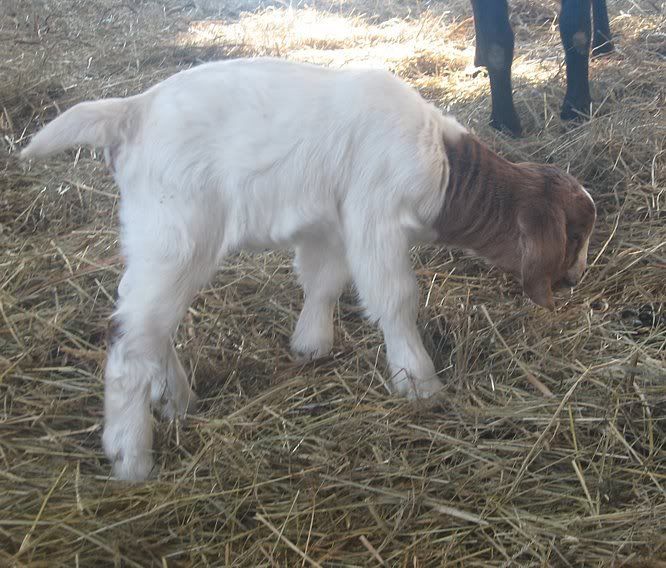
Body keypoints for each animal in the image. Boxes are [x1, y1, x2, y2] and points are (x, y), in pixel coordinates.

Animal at [21, 58, 596, 480]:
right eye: (574, 235)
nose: (574, 280)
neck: (443, 167)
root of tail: (134, 110)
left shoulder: (332, 225)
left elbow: (323, 281)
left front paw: (311, 345)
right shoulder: (375, 218)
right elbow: (395, 298)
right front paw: (419, 383)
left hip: (156, 242)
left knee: (146, 321)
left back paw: (178, 401)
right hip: (176, 236)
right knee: (130, 335)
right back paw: (131, 457)